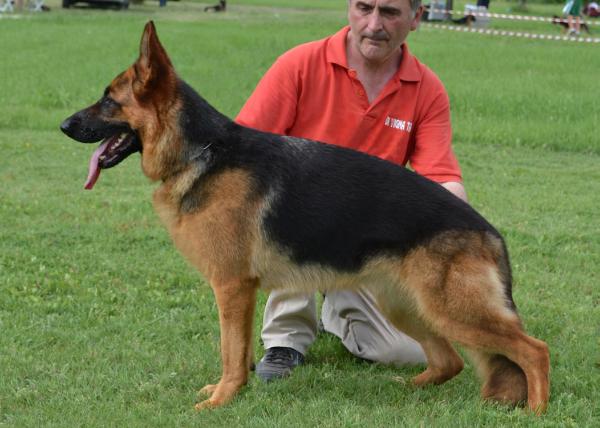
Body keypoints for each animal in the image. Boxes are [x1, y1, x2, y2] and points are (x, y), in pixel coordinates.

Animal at [59, 21, 548, 412]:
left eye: (108, 101)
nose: (63, 126)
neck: (201, 152)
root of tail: (491, 232)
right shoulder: (237, 291)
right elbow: (233, 351)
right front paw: (227, 392)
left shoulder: (232, 288)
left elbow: (230, 352)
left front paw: (222, 400)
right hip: (408, 306)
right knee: (451, 361)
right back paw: (407, 388)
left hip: (452, 310)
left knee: (534, 350)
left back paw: (537, 411)